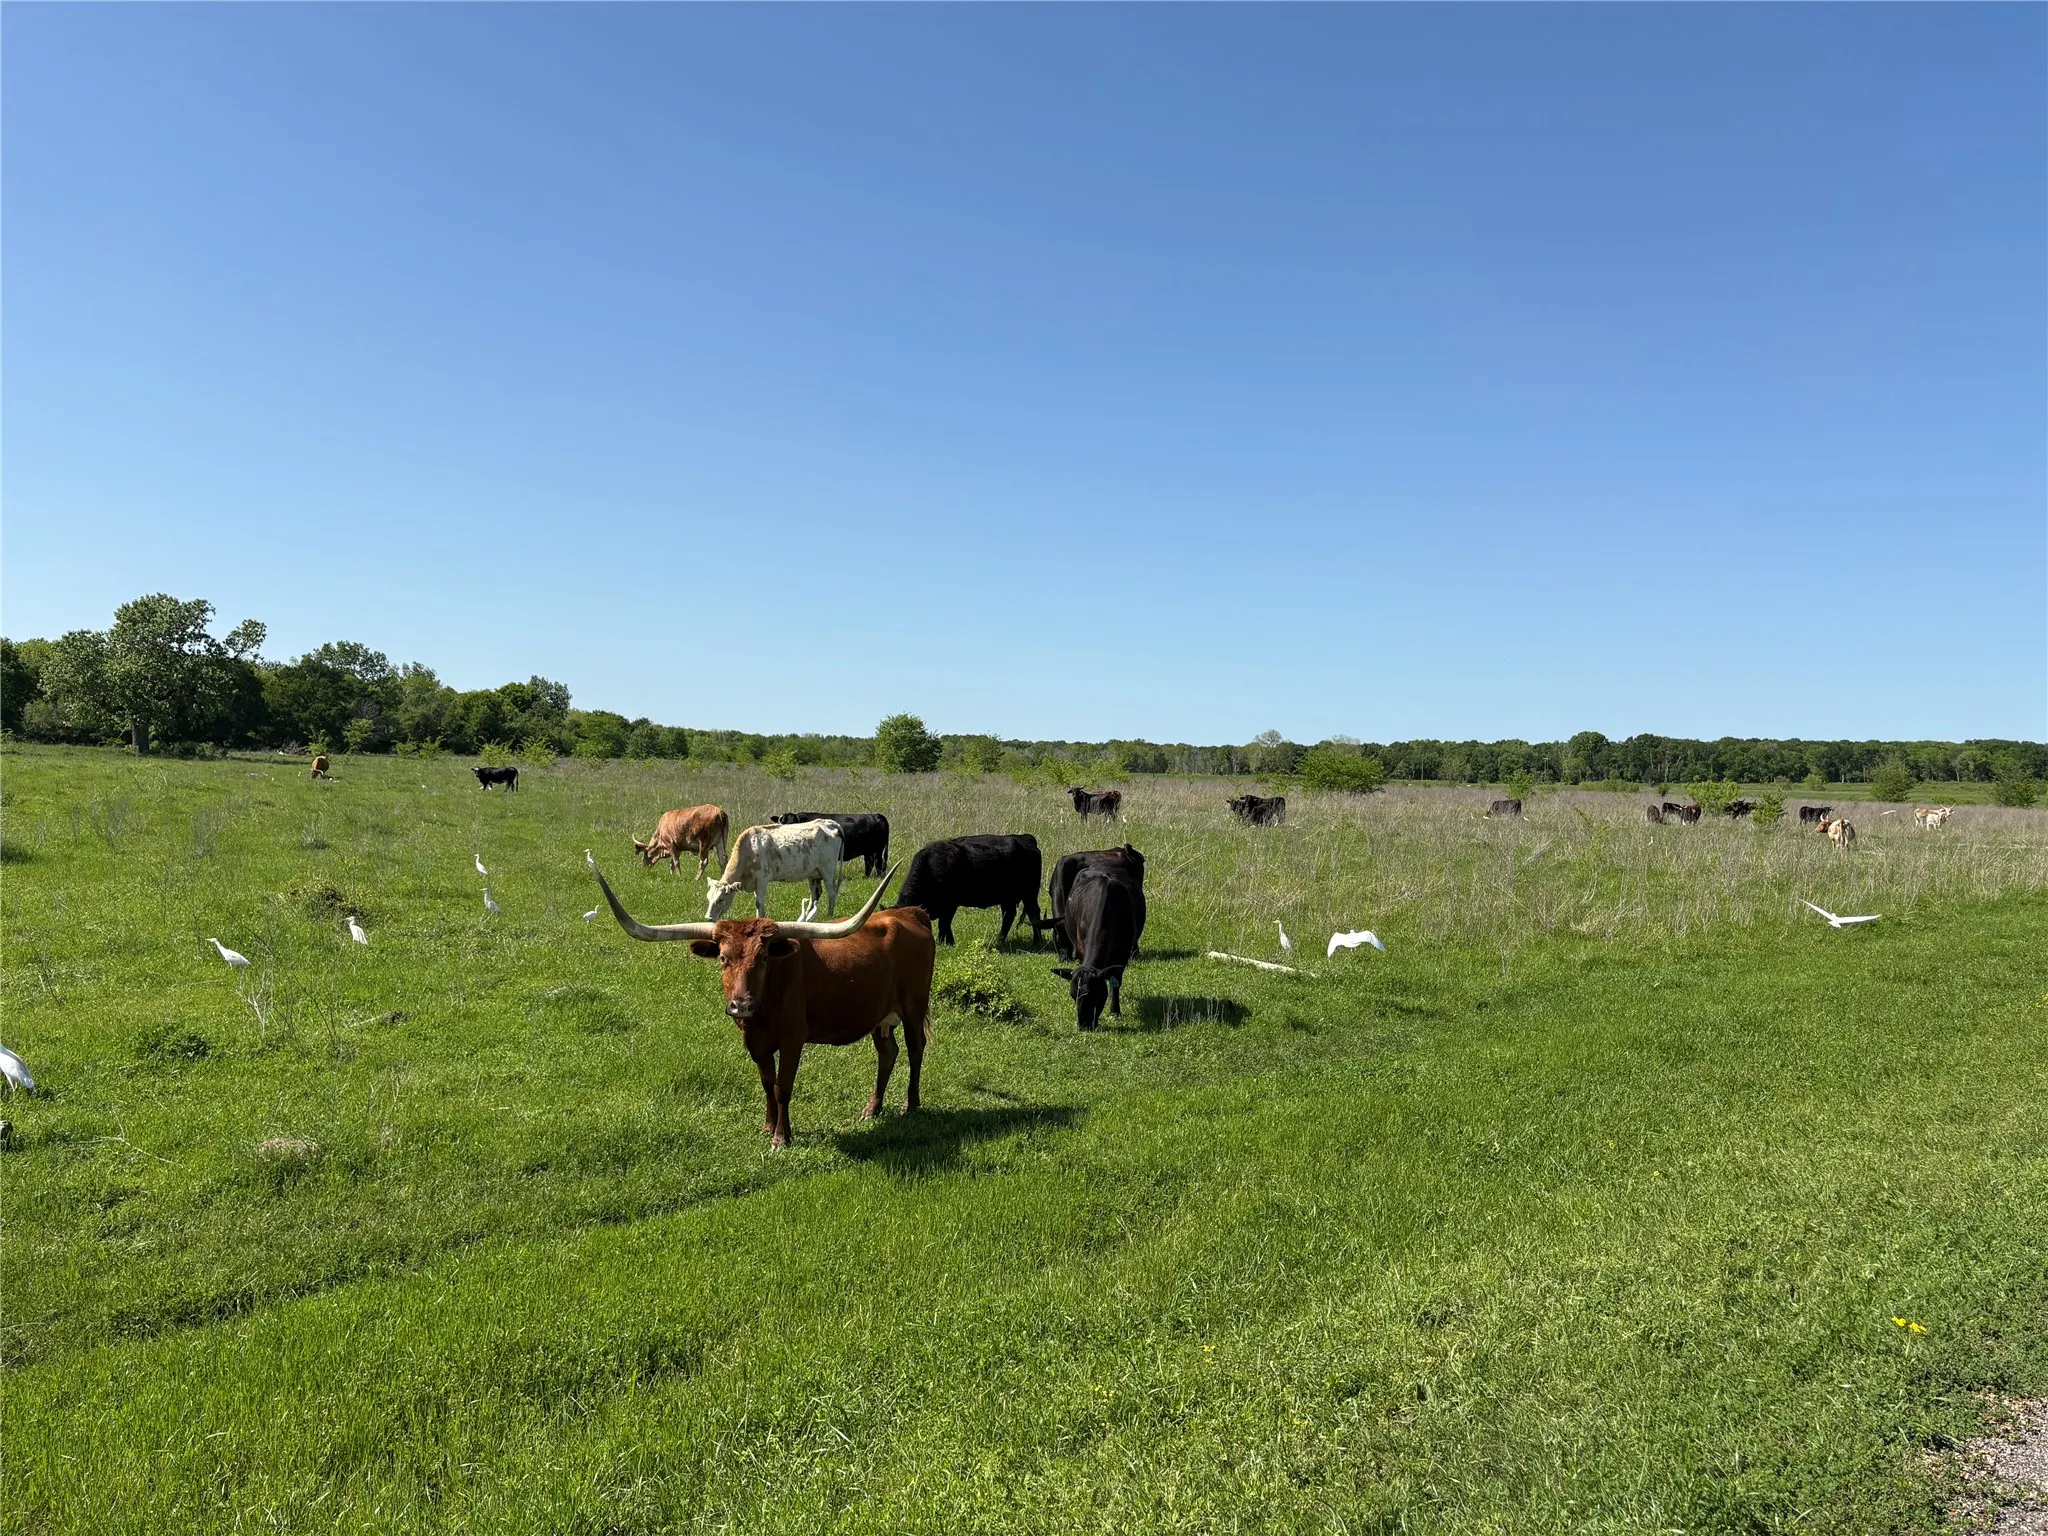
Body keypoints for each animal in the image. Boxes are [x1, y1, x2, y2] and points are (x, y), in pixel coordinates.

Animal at [585, 856, 931, 1149]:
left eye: (763, 958)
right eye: (723, 958)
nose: (741, 1006)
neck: (765, 1007)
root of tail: (910, 913)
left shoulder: (793, 1039)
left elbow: (783, 1086)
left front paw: (781, 1137)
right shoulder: (755, 1043)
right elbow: (767, 1083)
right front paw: (768, 1127)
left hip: (914, 1006)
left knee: (915, 1049)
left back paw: (911, 1104)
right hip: (880, 1016)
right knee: (888, 1053)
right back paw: (872, 1108)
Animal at [706, 821, 846, 921]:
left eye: (720, 899)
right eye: (708, 898)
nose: (708, 918)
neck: (750, 848)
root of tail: (829, 822)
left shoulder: (762, 879)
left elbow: (759, 904)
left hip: (828, 871)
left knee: (831, 893)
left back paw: (829, 916)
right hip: (813, 874)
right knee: (815, 895)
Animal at [894, 834, 1044, 947]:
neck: (931, 867)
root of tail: (1025, 838)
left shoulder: (950, 904)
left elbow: (944, 923)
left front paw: (947, 942)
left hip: (1029, 893)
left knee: (1033, 912)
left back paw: (1037, 941)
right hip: (1008, 897)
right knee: (1009, 915)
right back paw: (1000, 940)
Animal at [1050, 864, 1142, 1031]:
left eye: (1096, 994)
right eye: (1073, 995)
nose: (1084, 1025)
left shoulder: (1123, 952)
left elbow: (1115, 982)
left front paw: (1115, 1012)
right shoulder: (1080, 948)